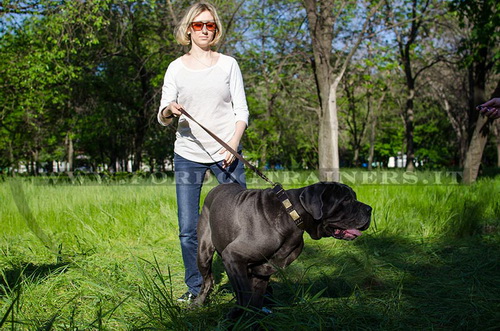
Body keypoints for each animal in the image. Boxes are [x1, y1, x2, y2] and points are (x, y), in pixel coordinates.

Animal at [191, 183, 372, 318]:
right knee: (208, 280)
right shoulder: (233, 257)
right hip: (203, 252)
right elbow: (246, 296)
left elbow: (255, 300)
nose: (370, 209)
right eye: (346, 200)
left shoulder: (262, 271)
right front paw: (238, 317)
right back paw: (198, 302)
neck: (292, 214)